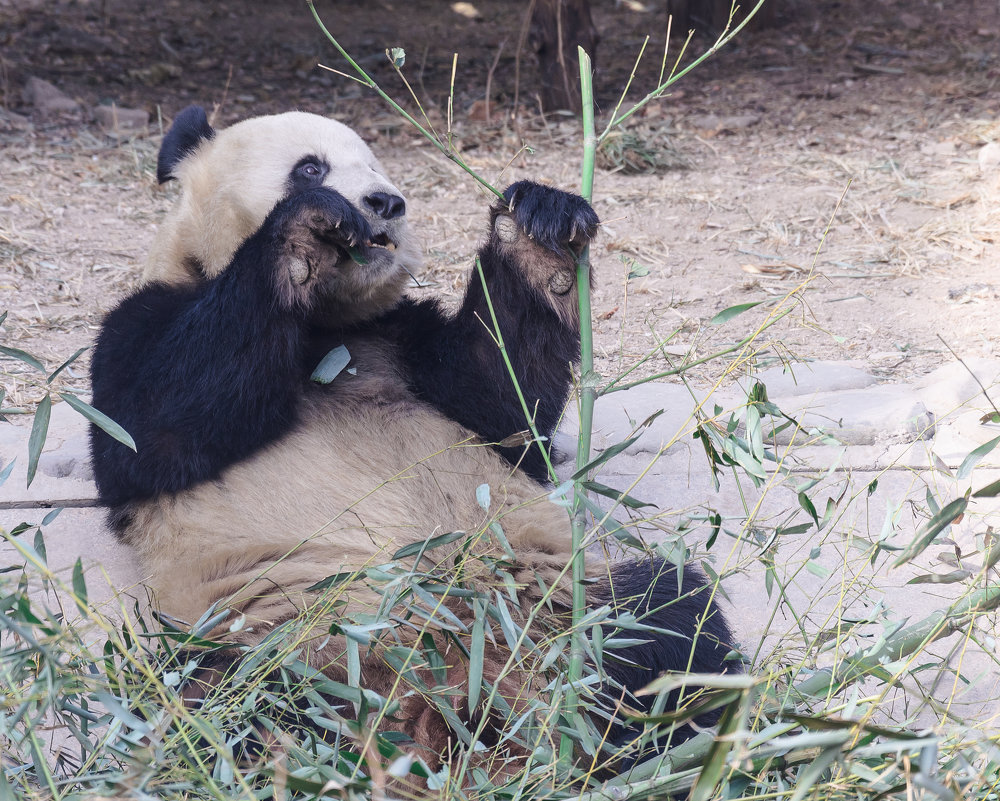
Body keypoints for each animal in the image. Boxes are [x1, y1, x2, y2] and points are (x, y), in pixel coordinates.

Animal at [90, 104, 736, 768]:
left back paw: (630, 745)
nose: (386, 201)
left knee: (663, 627)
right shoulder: (139, 324)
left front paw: (539, 230)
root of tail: (451, 679)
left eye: (377, 165)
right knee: (235, 715)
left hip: (556, 596)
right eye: (310, 166)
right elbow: (153, 432)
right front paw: (307, 231)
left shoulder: (399, 338)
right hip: (278, 633)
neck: (325, 328)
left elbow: (502, 406)